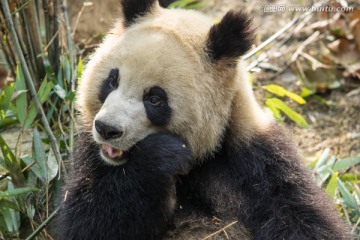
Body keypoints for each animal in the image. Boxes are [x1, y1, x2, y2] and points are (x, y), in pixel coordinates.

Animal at [57, 0, 350, 239]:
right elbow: (91, 221)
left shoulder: (260, 159)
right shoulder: (91, 155)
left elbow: (301, 216)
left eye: (155, 99)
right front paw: (161, 156)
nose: (107, 129)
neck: (202, 159)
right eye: (112, 80)